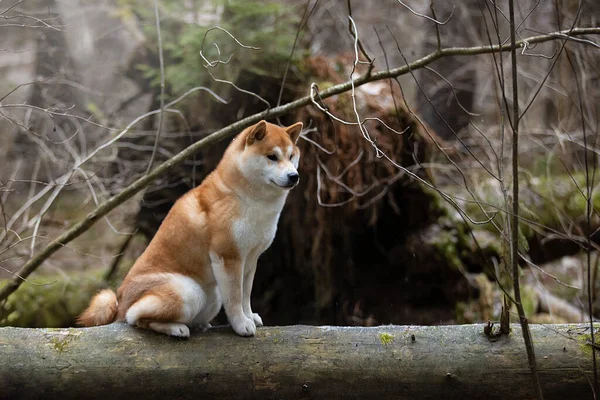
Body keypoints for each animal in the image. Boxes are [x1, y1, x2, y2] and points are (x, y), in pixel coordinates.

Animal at [78, 119, 304, 338]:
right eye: (272, 157)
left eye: (291, 156)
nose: (294, 176)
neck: (248, 198)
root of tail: (120, 303)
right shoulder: (229, 257)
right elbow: (234, 298)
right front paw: (241, 324)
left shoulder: (250, 258)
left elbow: (245, 295)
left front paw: (250, 317)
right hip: (189, 291)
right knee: (136, 317)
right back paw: (176, 329)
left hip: (213, 296)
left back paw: (199, 325)